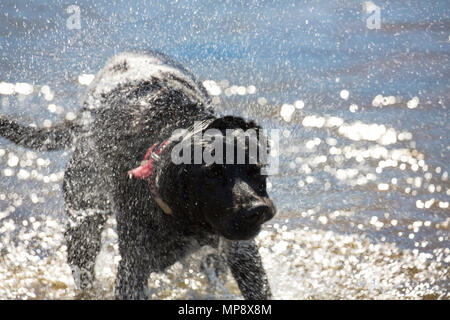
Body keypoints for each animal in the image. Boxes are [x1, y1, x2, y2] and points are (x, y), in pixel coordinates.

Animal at [0, 51, 276, 298]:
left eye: (255, 170)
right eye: (212, 173)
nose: (256, 209)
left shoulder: (242, 254)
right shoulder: (133, 268)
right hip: (83, 223)